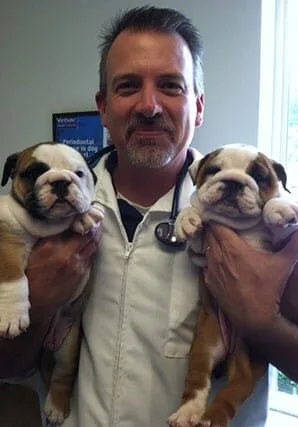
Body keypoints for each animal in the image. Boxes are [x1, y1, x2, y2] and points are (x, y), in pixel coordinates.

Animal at [0, 142, 103, 426]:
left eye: (79, 174)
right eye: (34, 172)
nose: (60, 181)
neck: (45, 226)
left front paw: (85, 216)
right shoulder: (7, 242)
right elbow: (13, 276)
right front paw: (12, 314)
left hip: (68, 344)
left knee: (62, 374)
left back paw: (56, 406)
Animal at [169, 145, 298, 427]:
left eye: (259, 177)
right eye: (214, 170)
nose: (233, 182)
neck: (237, 226)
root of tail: (229, 351)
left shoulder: (280, 246)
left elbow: (277, 214)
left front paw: (280, 207)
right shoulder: (200, 252)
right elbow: (194, 215)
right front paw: (186, 220)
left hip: (252, 355)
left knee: (240, 385)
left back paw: (211, 418)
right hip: (204, 344)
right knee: (199, 380)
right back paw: (189, 413)